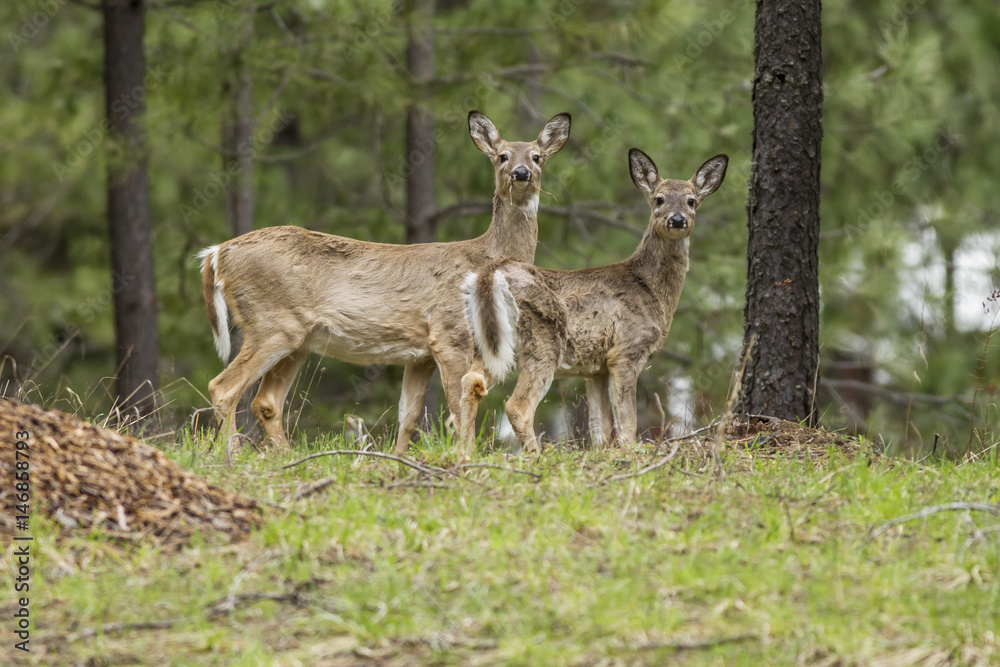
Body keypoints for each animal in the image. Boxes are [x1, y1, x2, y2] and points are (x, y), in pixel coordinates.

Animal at [198, 111, 572, 454]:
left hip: (299, 339)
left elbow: (409, 417)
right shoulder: (449, 334)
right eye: (502, 155)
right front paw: (463, 458)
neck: (484, 257)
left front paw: (400, 459)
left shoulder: (420, 354)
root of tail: (217, 253)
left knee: (266, 402)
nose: (521, 173)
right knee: (223, 387)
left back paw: (283, 455)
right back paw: (232, 454)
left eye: (537, 156)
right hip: (273, 322)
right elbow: (458, 406)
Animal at [458, 150, 728, 454]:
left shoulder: (595, 368)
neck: (651, 290)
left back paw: (463, 452)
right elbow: (627, 425)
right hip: (541, 341)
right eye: (659, 198)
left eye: (691, 200)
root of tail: (491, 273)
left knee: (470, 382)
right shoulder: (625, 351)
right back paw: (535, 455)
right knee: (517, 406)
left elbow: (600, 429)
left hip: (488, 342)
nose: (678, 219)